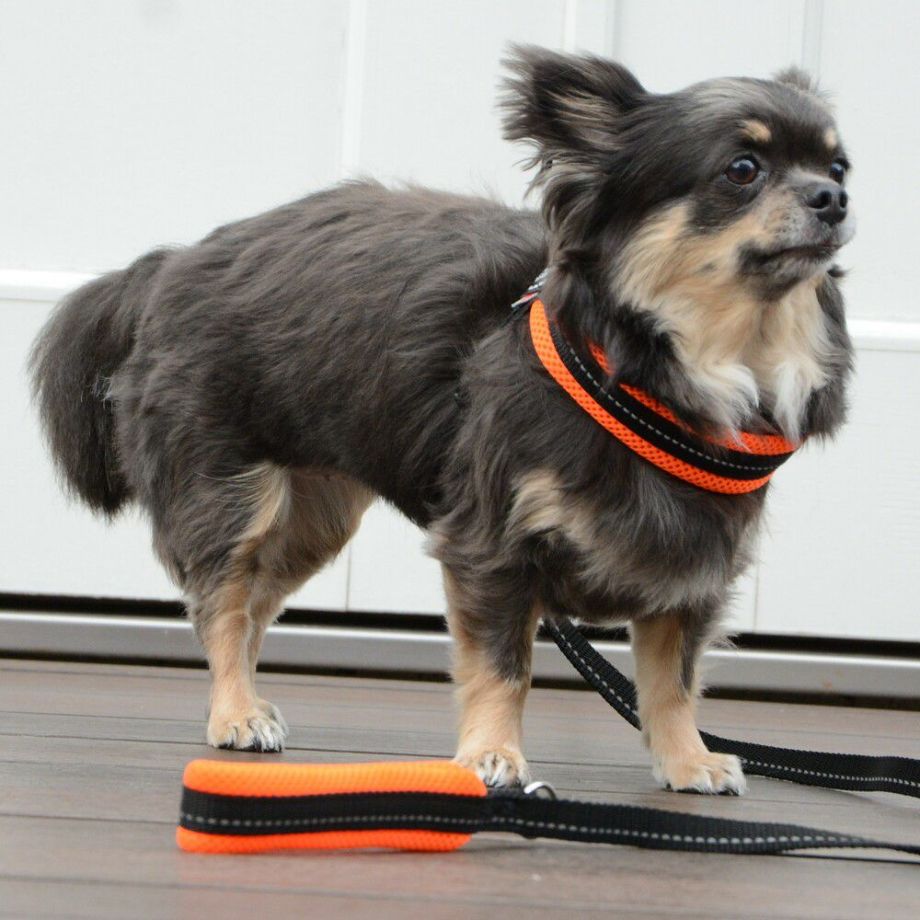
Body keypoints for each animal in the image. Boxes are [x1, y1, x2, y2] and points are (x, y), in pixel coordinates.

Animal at [31, 46, 854, 794]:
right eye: (742, 169)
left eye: (841, 168)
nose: (834, 200)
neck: (674, 373)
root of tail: (168, 266)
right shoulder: (492, 548)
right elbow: (503, 668)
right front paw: (493, 758)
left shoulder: (691, 566)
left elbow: (674, 680)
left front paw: (687, 760)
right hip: (232, 496)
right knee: (223, 606)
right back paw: (235, 714)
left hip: (315, 518)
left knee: (253, 603)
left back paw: (252, 703)